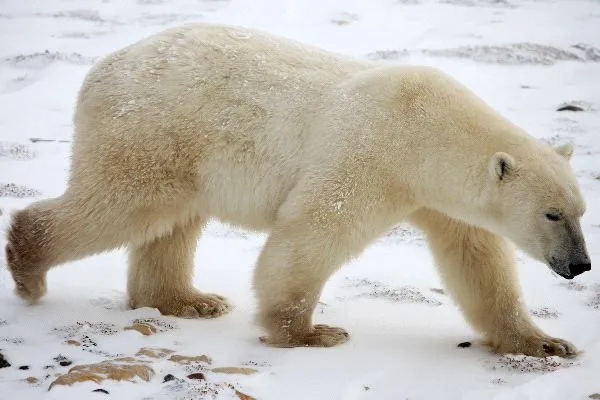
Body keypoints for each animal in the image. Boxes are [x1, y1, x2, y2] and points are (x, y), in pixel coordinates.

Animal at [7, 23, 592, 358]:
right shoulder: (371, 153)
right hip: (153, 128)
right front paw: (310, 332)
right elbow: (314, 231)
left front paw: (545, 343)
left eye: (581, 210)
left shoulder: (442, 198)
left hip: (181, 149)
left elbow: (478, 263)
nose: (580, 265)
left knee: (172, 223)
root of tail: (102, 67)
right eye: (552, 215)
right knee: (122, 204)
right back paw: (28, 267)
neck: (425, 128)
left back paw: (188, 301)